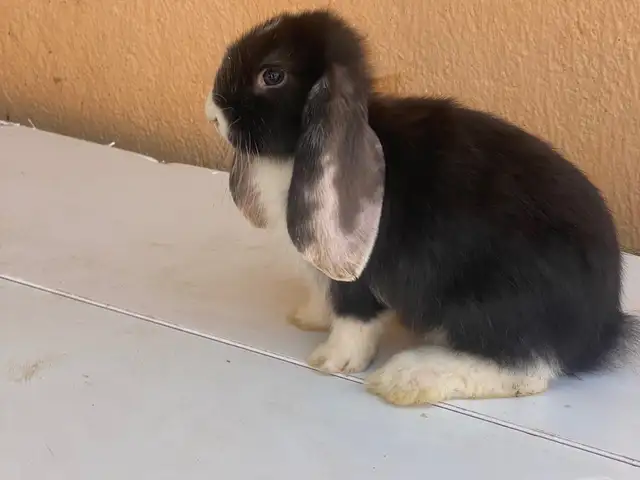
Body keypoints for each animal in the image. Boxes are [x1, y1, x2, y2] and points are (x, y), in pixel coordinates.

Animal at [204, 9, 637, 406]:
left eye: (272, 75)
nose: (212, 114)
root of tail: (602, 327)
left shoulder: (361, 277)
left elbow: (354, 318)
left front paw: (332, 361)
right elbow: (323, 294)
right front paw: (307, 317)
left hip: (491, 305)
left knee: (528, 367)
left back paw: (408, 377)